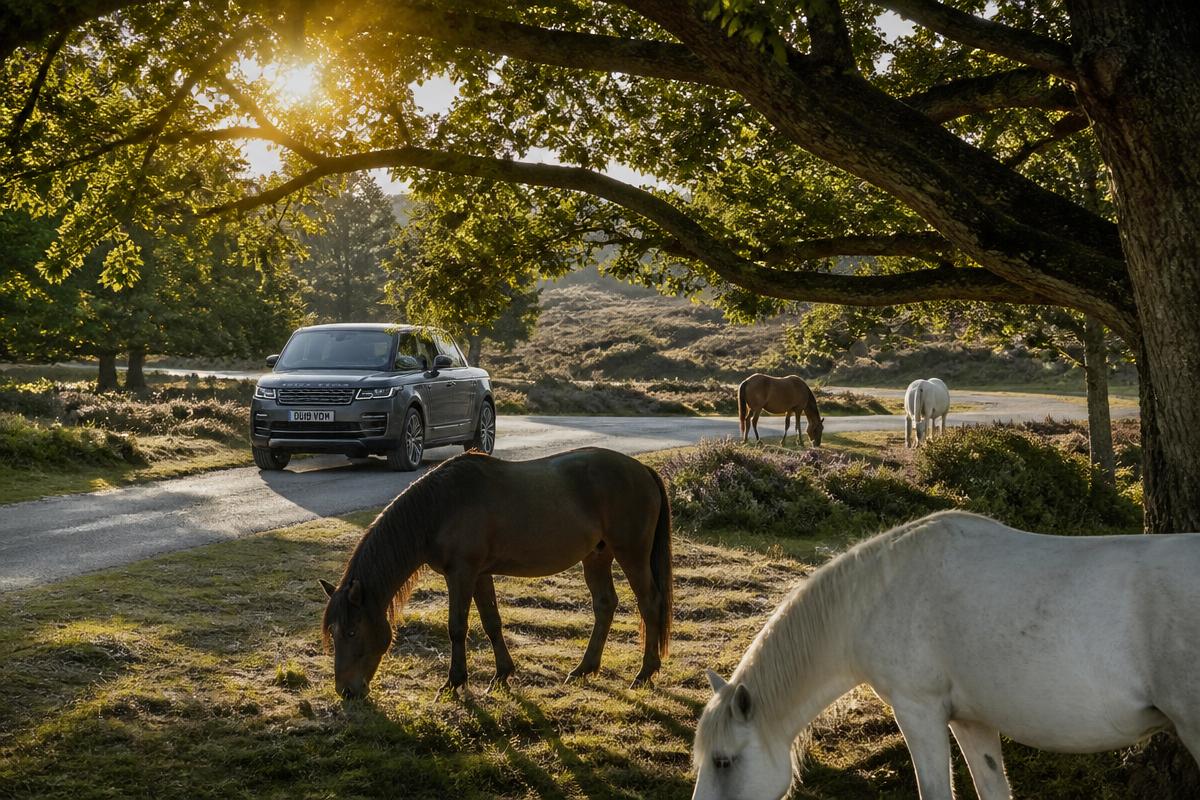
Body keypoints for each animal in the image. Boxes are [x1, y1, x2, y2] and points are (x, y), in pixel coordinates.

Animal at [319, 447, 673, 698]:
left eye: (351, 631)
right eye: (333, 632)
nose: (346, 691)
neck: (440, 507)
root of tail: (643, 471)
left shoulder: (461, 574)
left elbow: (457, 627)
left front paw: (453, 682)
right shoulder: (479, 574)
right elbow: (492, 622)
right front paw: (502, 674)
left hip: (631, 554)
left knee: (649, 603)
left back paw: (645, 672)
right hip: (597, 556)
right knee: (605, 605)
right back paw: (584, 668)